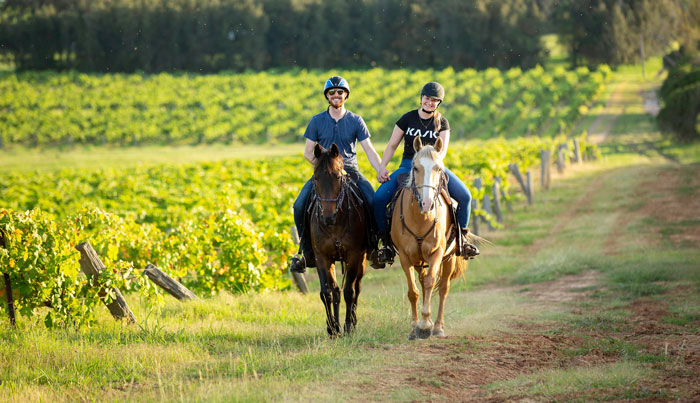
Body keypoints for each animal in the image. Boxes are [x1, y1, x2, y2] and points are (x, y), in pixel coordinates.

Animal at [309, 143, 368, 337]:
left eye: (337, 176)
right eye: (316, 177)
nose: (328, 217)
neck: (334, 225)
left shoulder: (354, 256)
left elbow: (349, 291)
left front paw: (348, 326)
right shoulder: (321, 257)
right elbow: (327, 292)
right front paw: (333, 328)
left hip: (362, 260)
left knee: (357, 287)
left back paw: (353, 322)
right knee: (335, 291)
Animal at [391, 136, 468, 340]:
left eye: (438, 168)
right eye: (416, 167)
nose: (426, 203)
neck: (421, 217)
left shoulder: (436, 253)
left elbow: (431, 283)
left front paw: (425, 325)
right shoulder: (405, 257)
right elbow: (413, 292)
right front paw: (414, 328)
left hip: (449, 257)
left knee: (443, 288)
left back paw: (438, 327)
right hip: (419, 261)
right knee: (423, 282)